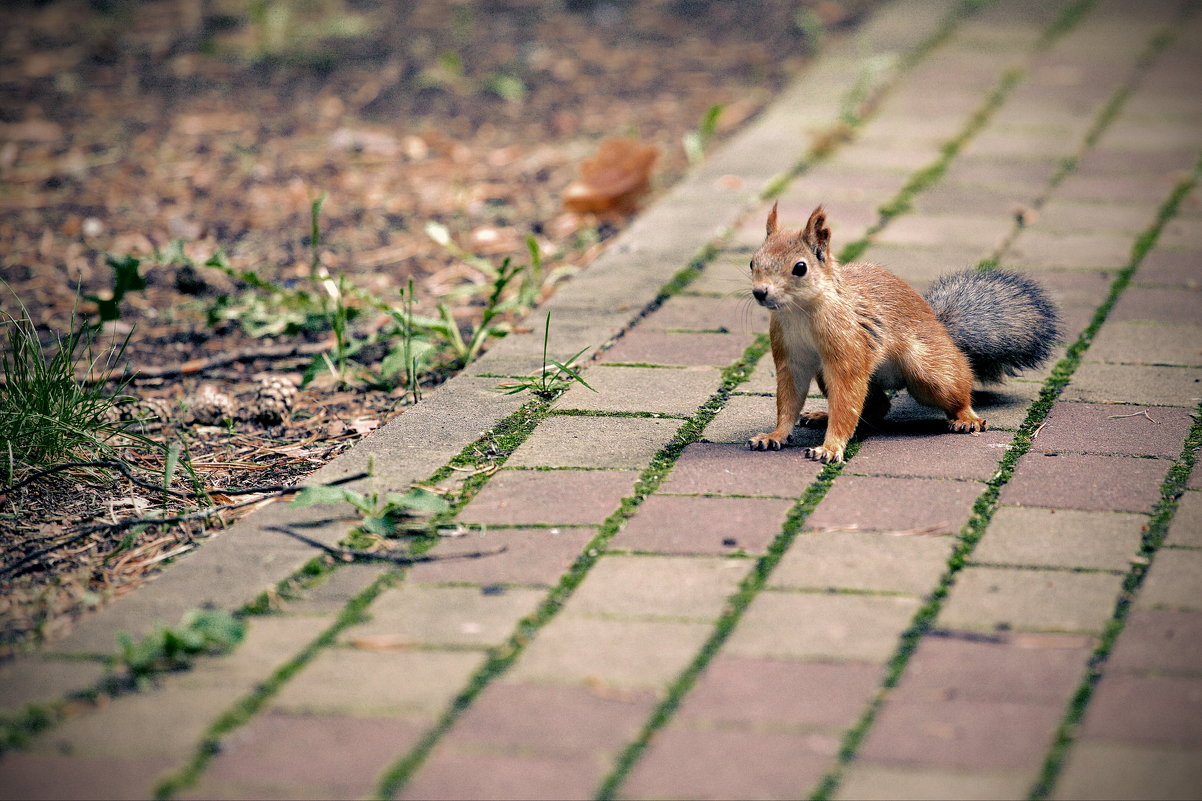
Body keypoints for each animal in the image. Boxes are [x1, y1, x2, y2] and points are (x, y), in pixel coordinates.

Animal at [750, 200, 1062, 461]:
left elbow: (846, 400)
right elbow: (789, 398)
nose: (759, 293)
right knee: (878, 408)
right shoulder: (791, 355)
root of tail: (941, 328)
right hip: (826, 373)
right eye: (753, 261)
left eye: (800, 267)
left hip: (929, 371)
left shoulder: (848, 349)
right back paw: (822, 415)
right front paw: (775, 435)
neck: (799, 312)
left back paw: (967, 417)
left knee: (956, 387)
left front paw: (830, 447)